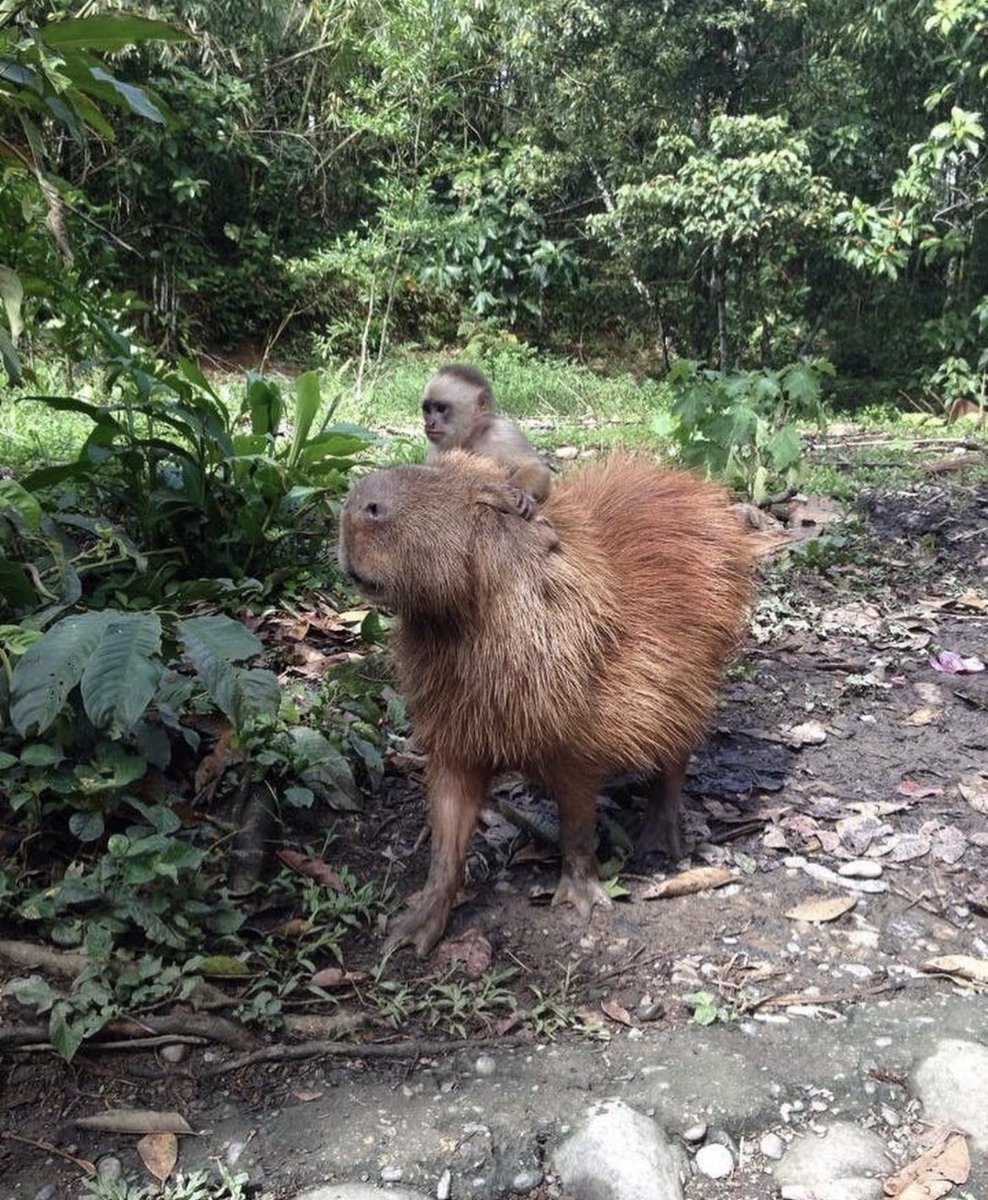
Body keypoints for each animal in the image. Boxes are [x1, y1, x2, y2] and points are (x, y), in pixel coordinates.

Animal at [339, 450, 754, 956]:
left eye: (488, 501)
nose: (361, 504)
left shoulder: (581, 743)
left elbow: (576, 821)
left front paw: (582, 899)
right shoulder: (454, 739)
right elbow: (447, 830)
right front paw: (412, 929)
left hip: (694, 686)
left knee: (675, 762)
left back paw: (657, 840)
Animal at [422, 363, 553, 503]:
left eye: (441, 408)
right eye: (427, 409)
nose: (430, 423)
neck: (472, 436)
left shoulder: (503, 433)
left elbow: (535, 466)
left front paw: (522, 492)